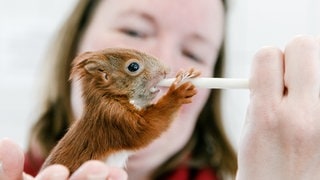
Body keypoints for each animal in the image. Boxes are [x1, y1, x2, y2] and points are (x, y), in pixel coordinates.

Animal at [40, 47, 200, 173]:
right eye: (133, 67)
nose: (167, 70)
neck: (109, 96)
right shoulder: (113, 117)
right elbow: (145, 128)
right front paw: (178, 93)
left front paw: (186, 74)